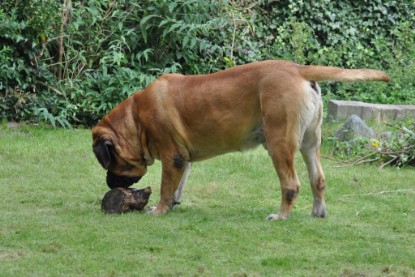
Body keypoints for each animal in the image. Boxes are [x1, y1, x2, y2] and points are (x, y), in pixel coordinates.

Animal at [92, 60, 390, 220]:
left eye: (109, 163)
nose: (108, 184)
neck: (136, 118)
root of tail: (298, 69)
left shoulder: (171, 156)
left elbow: (166, 187)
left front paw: (159, 209)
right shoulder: (183, 158)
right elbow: (179, 184)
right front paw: (174, 203)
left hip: (279, 143)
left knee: (291, 185)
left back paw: (281, 216)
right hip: (310, 143)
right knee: (318, 179)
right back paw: (317, 213)